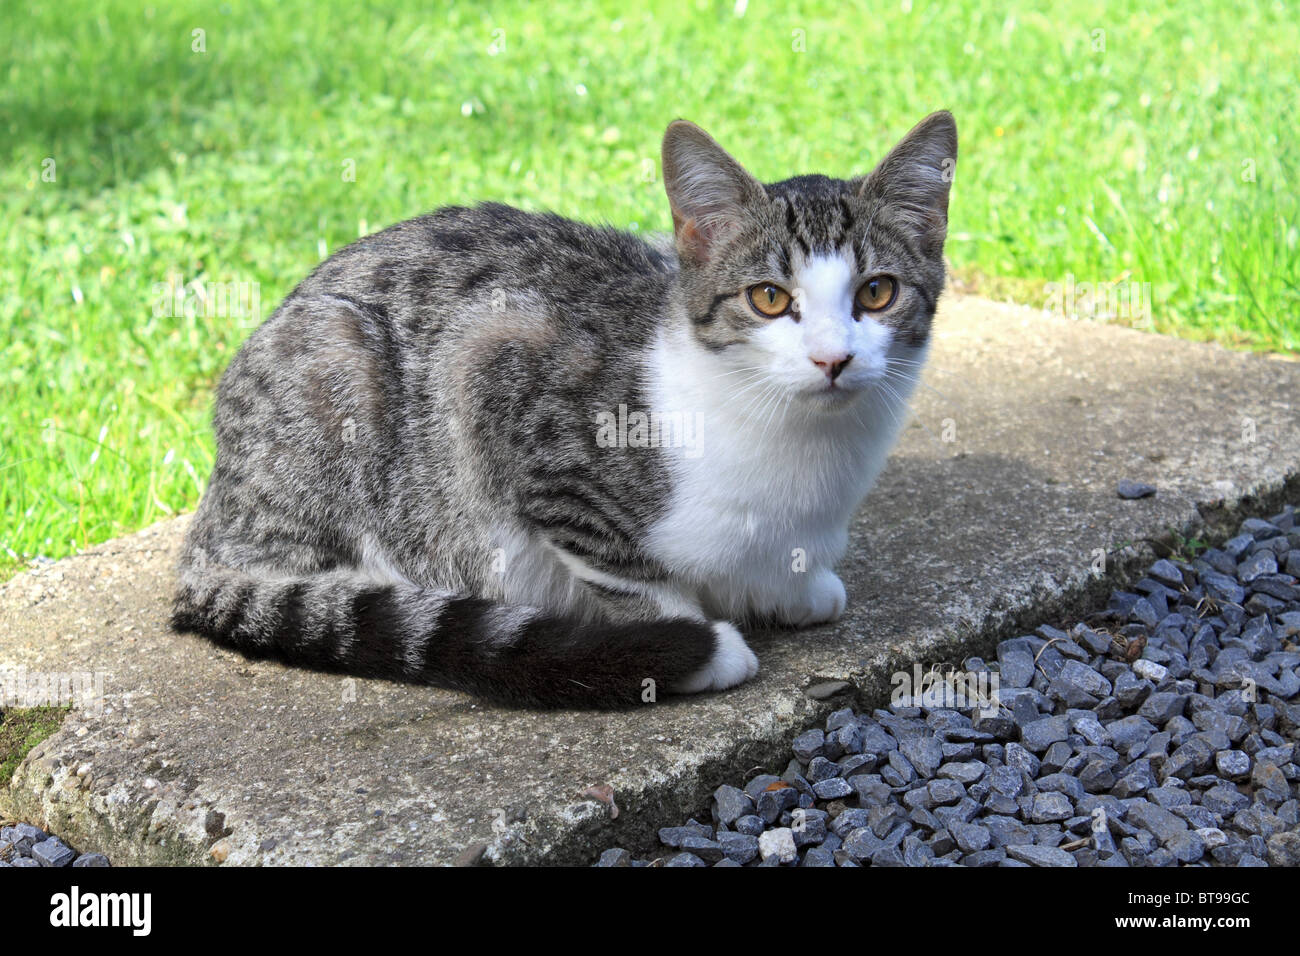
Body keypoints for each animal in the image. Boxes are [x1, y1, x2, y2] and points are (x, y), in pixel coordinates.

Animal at [170, 113, 956, 712]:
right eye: (768, 298)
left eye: (877, 292)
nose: (833, 359)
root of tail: (212, 515)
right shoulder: (502, 372)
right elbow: (629, 576)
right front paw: (687, 645)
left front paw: (792, 588)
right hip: (338, 363)